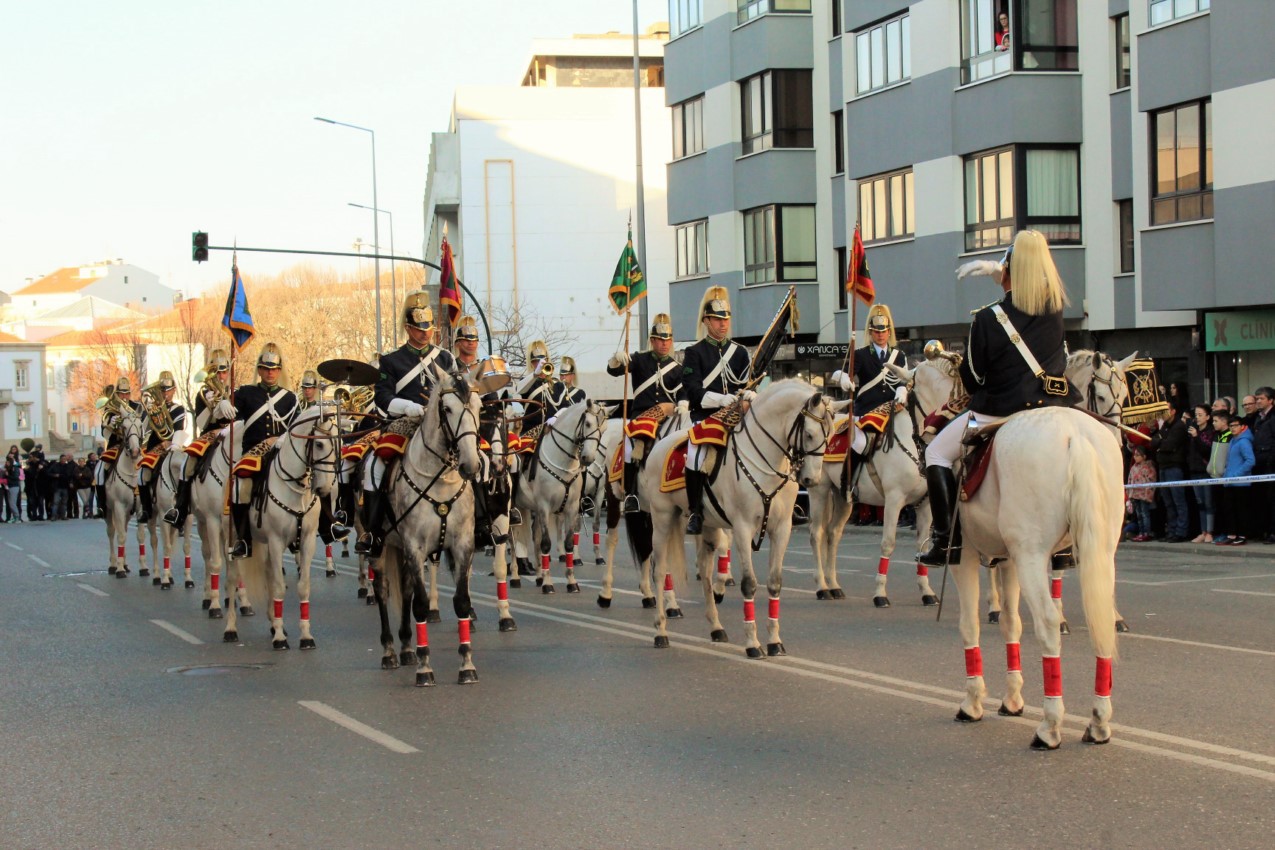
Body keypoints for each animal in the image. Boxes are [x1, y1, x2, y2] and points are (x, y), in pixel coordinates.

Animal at [223, 407, 339, 647]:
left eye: (337, 441)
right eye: (319, 444)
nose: (324, 488)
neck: (296, 487)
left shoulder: (307, 541)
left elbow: (302, 586)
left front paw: (305, 636)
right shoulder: (276, 541)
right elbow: (278, 586)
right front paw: (279, 639)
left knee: (267, 573)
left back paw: (274, 622)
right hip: (231, 537)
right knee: (232, 578)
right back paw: (231, 628)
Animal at [372, 369, 481, 688]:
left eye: (479, 407)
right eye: (448, 409)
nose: (472, 466)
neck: (441, 480)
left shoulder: (462, 545)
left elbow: (461, 602)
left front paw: (466, 664)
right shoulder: (415, 547)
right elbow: (420, 604)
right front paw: (424, 668)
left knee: (406, 589)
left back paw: (407, 647)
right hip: (378, 546)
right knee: (383, 590)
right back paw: (390, 651)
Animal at [510, 402, 604, 596]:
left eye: (601, 428)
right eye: (588, 424)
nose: (588, 458)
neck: (563, 462)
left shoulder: (571, 508)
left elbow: (568, 543)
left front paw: (571, 582)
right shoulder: (545, 507)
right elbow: (546, 544)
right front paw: (548, 584)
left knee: (534, 537)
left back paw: (538, 575)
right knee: (512, 540)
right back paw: (515, 576)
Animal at [642, 384, 831, 657]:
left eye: (830, 436)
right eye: (809, 434)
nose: (811, 480)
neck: (767, 461)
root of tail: (659, 445)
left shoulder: (781, 529)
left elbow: (774, 583)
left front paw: (774, 641)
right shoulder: (743, 527)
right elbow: (749, 584)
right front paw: (753, 643)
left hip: (708, 525)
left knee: (706, 571)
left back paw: (716, 626)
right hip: (662, 519)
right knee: (659, 570)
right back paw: (661, 631)